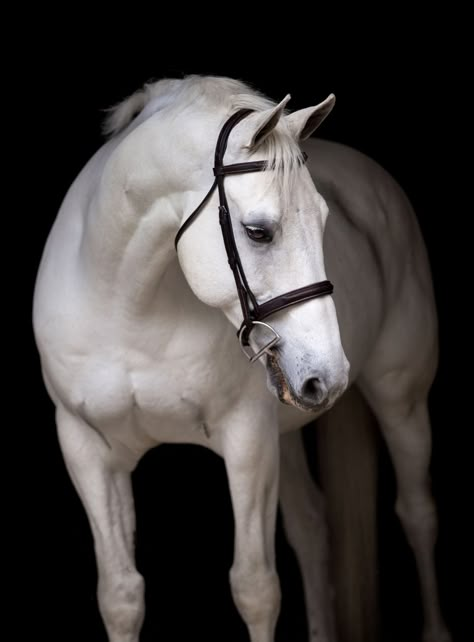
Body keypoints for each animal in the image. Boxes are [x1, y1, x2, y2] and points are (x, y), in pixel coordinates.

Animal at [34, 76, 452, 640]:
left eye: (324, 220)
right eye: (258, 231)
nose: (330, 375)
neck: (128, 310)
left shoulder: (247, 441)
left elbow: (256, 589)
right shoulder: (86, 449)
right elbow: (120, 596)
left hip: (399, 399)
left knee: (416, 512)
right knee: (313, 528)